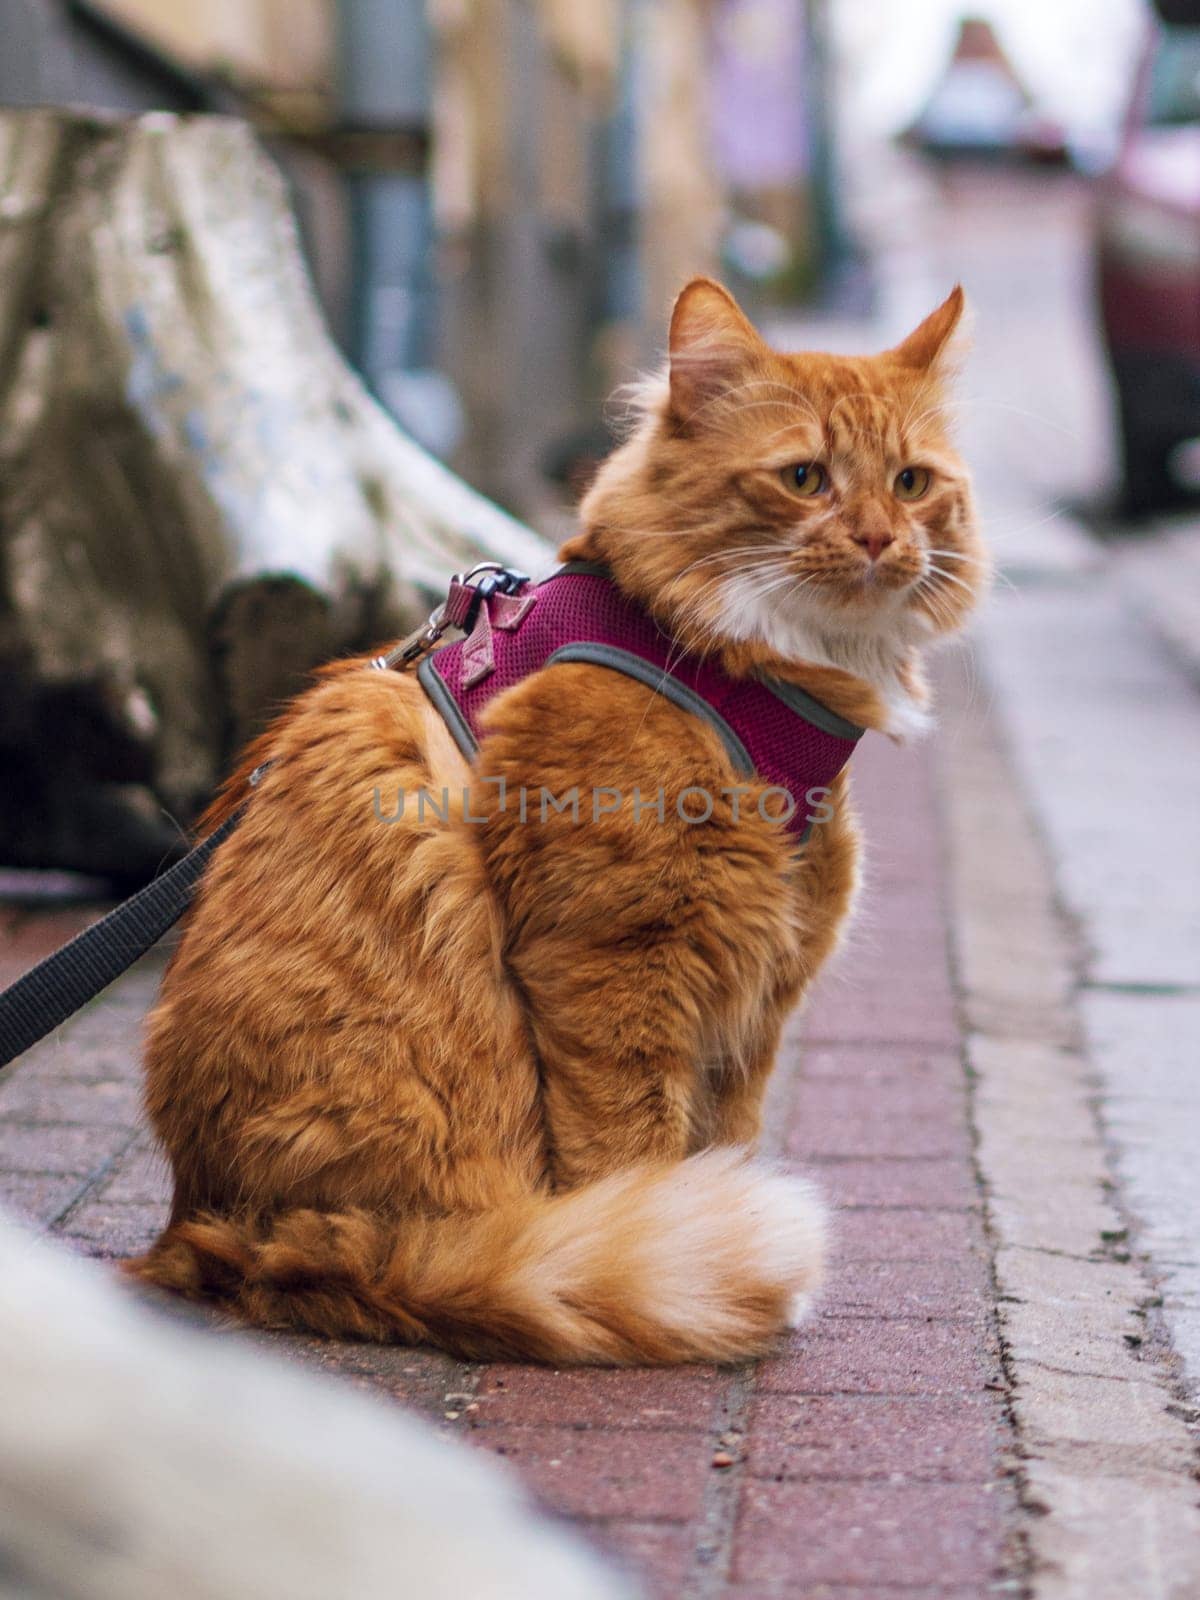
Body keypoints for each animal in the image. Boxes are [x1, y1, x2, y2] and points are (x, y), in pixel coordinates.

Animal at [131, 278, 992, 1363]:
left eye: (913, 483)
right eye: (805, 477)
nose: (883, 538)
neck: (748, 680)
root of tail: (211, 1226)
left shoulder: (756, 998)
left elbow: (726, 1140)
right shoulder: (613, 963)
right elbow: (630, 1161)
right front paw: (680, 1243)